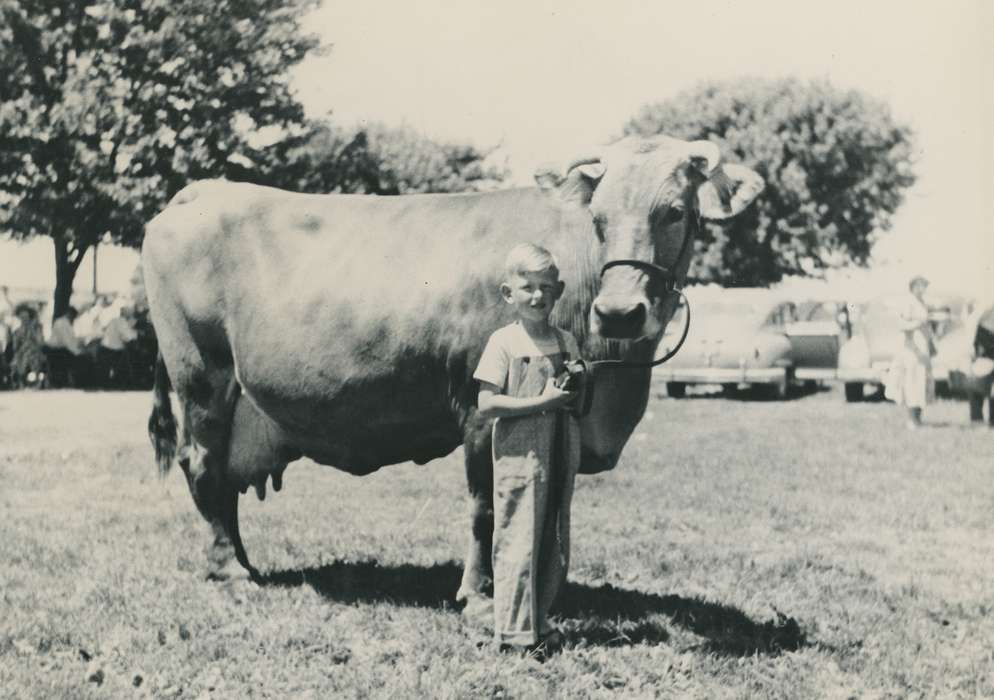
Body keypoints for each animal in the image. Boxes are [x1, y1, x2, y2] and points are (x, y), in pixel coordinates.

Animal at [142, 134, 763, 598]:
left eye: (675, 212)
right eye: (600, 218)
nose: (619, 311)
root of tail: (201, 192)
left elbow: (552, 502)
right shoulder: (480, 407)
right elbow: (485, 505)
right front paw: (480, 589)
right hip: (202, 377)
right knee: (204, 467)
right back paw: (230, 570)